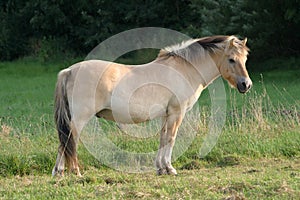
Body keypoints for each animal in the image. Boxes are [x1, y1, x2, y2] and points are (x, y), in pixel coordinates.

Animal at [51, 35, 251, 176]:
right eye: (231, 59)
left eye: (245, 60)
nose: (246, 85)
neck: (185, 69)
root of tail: (69, 71)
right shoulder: (176, 113)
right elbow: (171, 138)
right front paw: (170, 169)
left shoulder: (166, 115)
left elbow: (163, 139)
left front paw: (161, 169)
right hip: (79, 119)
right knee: (69, 140)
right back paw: (74, 172)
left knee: (63, 142)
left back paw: (59, 173)